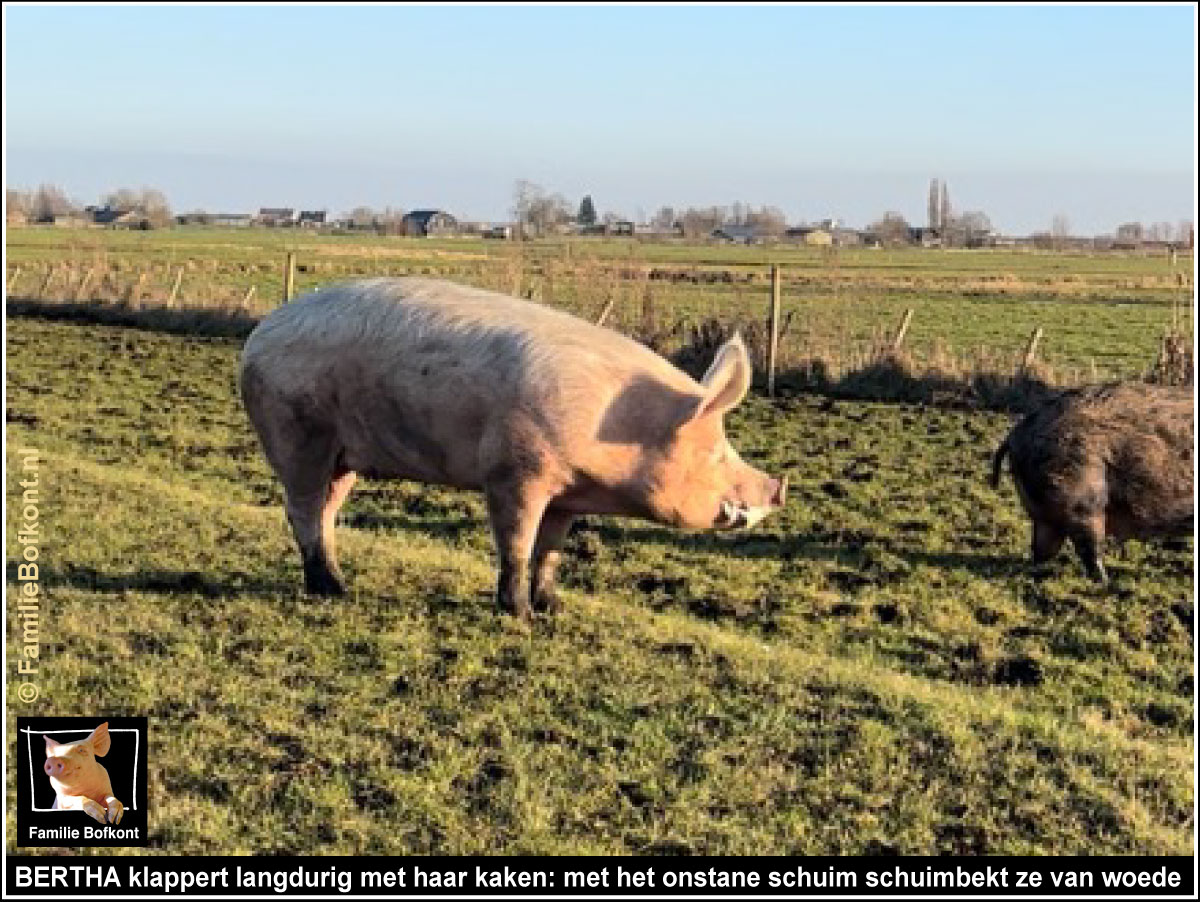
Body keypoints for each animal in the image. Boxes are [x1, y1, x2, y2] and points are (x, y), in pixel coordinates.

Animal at [243, 278, 787, 618]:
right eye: (715, 453)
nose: (779, 488)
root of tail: (257, 336)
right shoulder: (517, 469)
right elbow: (517, 544)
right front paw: (519, 615)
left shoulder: (567, 492)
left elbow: (550, 550)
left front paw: (555, 608)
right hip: (297, 434)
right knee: (302, 510)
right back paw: (332, 590)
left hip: (343, 455)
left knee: (327, 512)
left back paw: (335, 583)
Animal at [993, 381, 1190, 580]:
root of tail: (1015, 434)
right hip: (1083, 500)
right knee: (1088, 548)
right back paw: (1106, 581)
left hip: (1045, 511)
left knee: (1041, 548)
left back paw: (1037, 573)